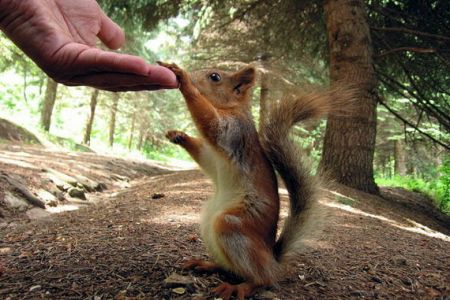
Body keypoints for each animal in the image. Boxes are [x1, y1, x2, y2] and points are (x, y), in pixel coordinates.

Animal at [158, 61, 356, 300]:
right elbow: (203, 153)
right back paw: (206, 264)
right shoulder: (211, 155)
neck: (231, 108)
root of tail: (272, 259)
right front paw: (178, 135)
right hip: (208, 223)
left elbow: (212, 124)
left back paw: (239, 287)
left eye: (215, 77)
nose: (191, 74)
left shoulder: (233, 131)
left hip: (232, 227)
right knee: (231, 268)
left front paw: (184, 80)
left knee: (262, 278)